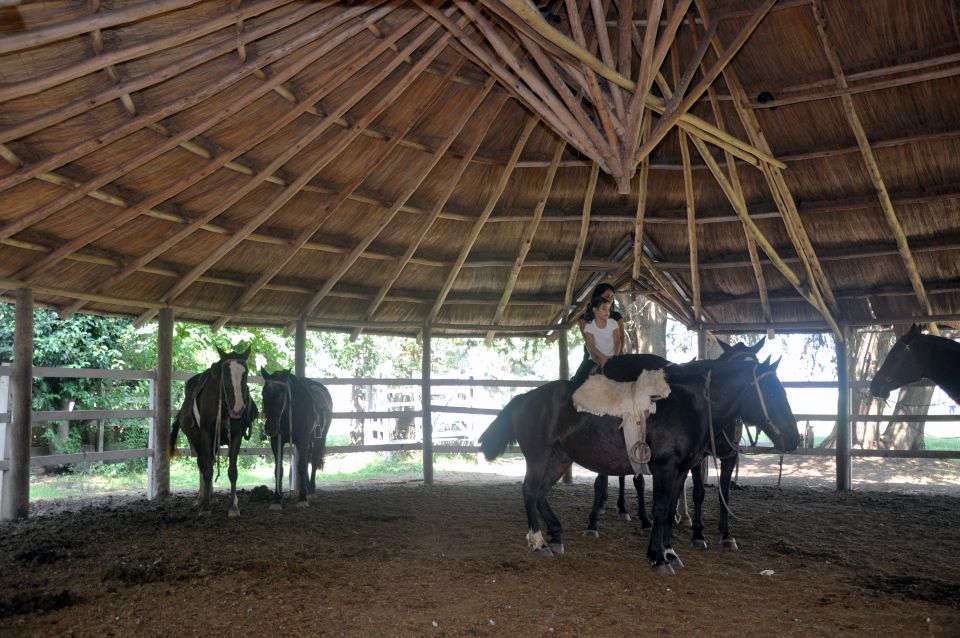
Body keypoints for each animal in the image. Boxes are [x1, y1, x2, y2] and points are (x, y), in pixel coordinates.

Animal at [171, 348, 256, 516]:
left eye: (246, 373)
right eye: (225, 374)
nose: (237, 408)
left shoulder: (236, 436)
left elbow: (232, 471)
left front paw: (233, 507)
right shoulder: (206, 435)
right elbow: (208, 470)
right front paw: (204, 508)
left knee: (208, 463)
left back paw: (211, 497)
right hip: (197, 440)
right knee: (203, 465)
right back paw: (201, 499)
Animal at [262, 370, 334, 510]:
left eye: (281, 395)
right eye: (263, 394)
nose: (270, 427)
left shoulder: (303, 439)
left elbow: (301, 467)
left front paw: (302, 499)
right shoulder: (276, 441)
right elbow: (278, 469)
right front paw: (277, 500)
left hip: (320, 438)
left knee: (314, 461)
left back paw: (311, 490)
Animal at [476, 360, 800, 576]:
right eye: (772, 393)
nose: (794, 439)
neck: (687, 405)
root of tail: (524, 398)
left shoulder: (681, 470)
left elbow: (669, 511)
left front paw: (669, 551)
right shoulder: (664, 468)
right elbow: (660, 509)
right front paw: (658, 557)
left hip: (559, 459)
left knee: (539, 493)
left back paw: (555, 536)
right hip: (540, 457)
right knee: (530, 491)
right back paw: (538, 541)